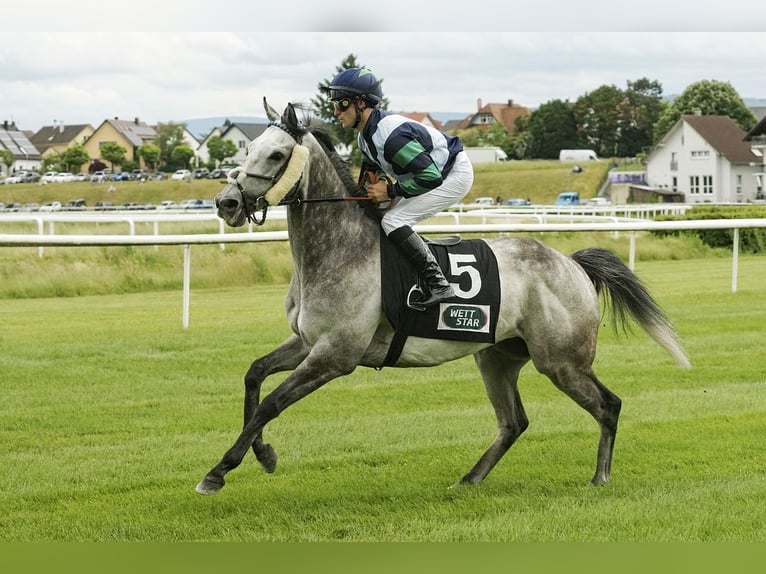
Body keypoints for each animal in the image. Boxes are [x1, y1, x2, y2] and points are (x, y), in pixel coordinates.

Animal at [196, 99, 688, 496]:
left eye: (277, 154)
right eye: (247, 150)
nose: (227, 204)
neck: (338, 249)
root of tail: (571, 263)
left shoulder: (336, 355)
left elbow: (272, 403)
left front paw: (219, 471)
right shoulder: (307, 342)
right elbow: (254, 377)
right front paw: (264, 455)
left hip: (562, 361)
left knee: (608, 404)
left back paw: (599, 477)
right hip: (498, 357)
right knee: (514, 422)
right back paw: (469, 479)